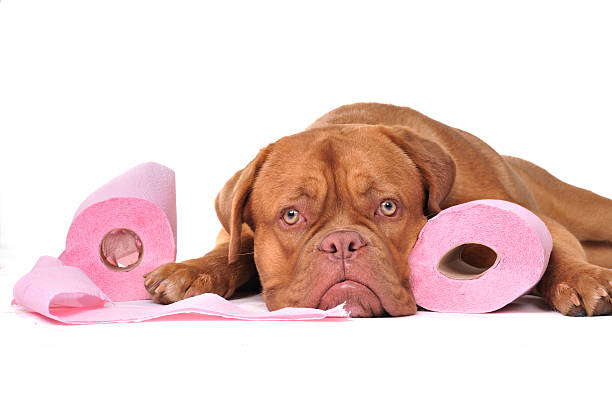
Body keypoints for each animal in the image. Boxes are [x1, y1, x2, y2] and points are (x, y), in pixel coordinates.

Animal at [142, 103, 612, 318]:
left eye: (387, 207)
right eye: (291, 216)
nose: (342, 243)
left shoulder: (537, 223)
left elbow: (556, 252)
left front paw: (582, 279)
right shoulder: (236, 235)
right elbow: (230, 254)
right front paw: (191, 271)